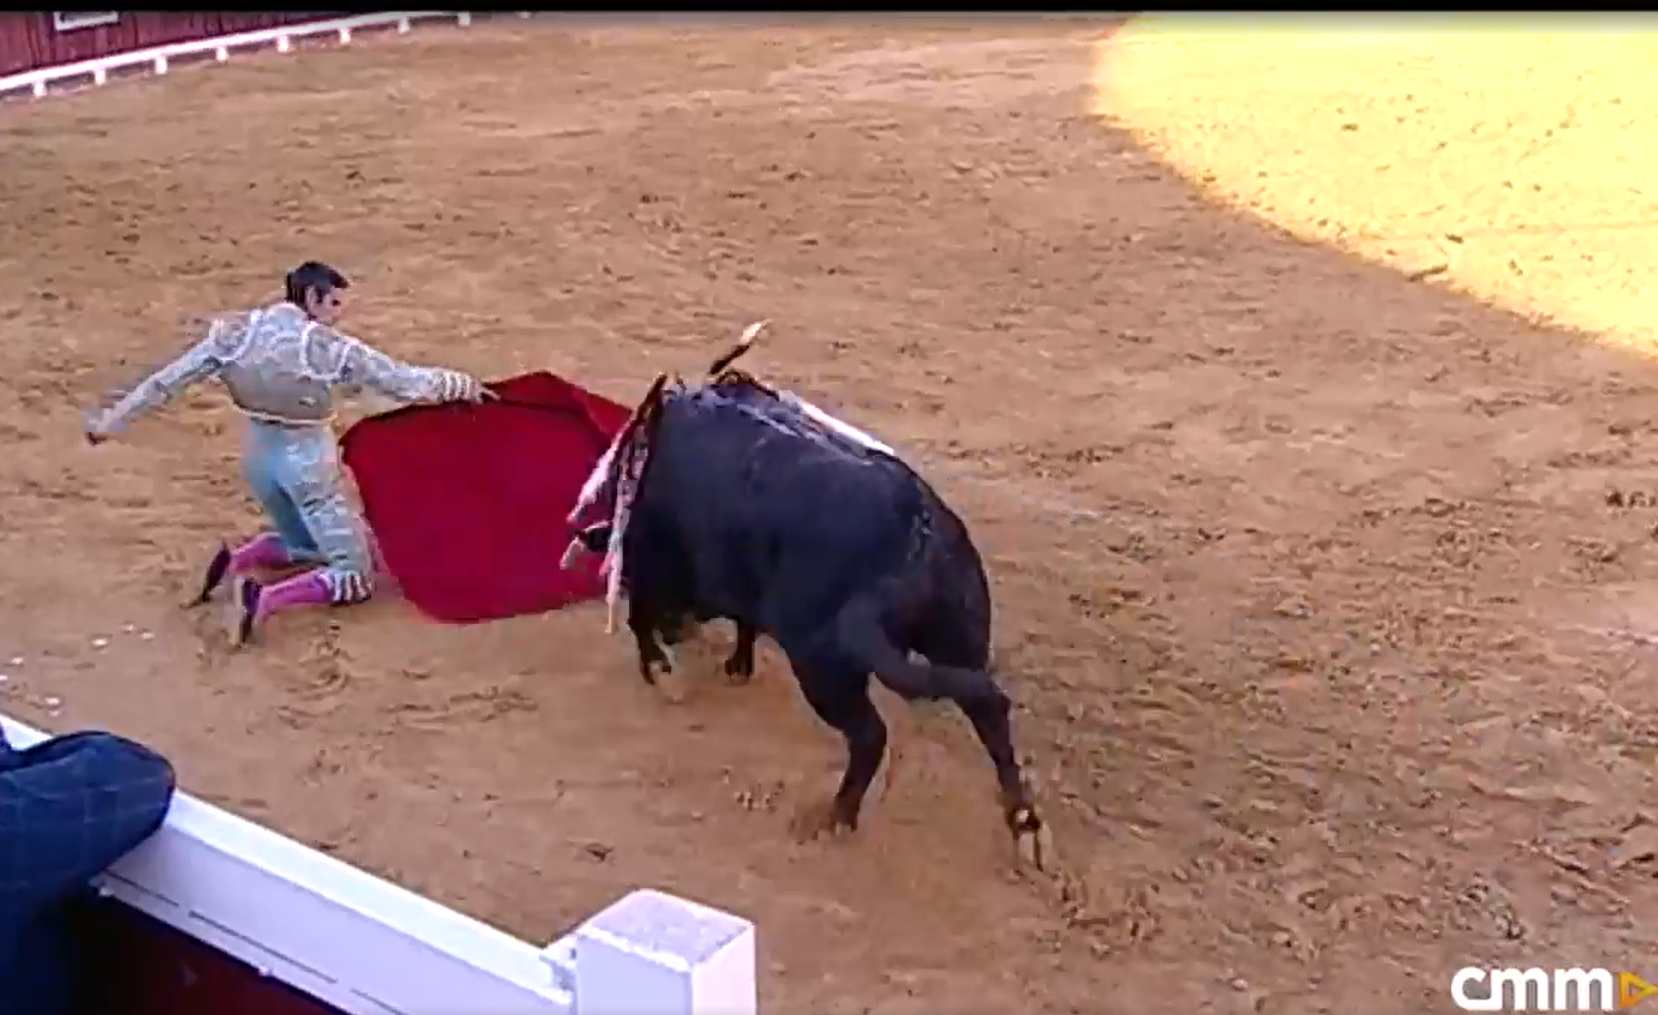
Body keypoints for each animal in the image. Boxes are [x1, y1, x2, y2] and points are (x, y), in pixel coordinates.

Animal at [576, 376, 1047, 869]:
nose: (680, 631)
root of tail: (914, 530)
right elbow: (741, 621)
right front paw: (735, 665)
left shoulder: (652, 565)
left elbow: (639, 616)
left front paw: (663, 671)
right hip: (959, 637)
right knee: (988, 711)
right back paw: (1024, 822)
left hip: (822, 666)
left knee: (870, 735)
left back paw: (838, 815)